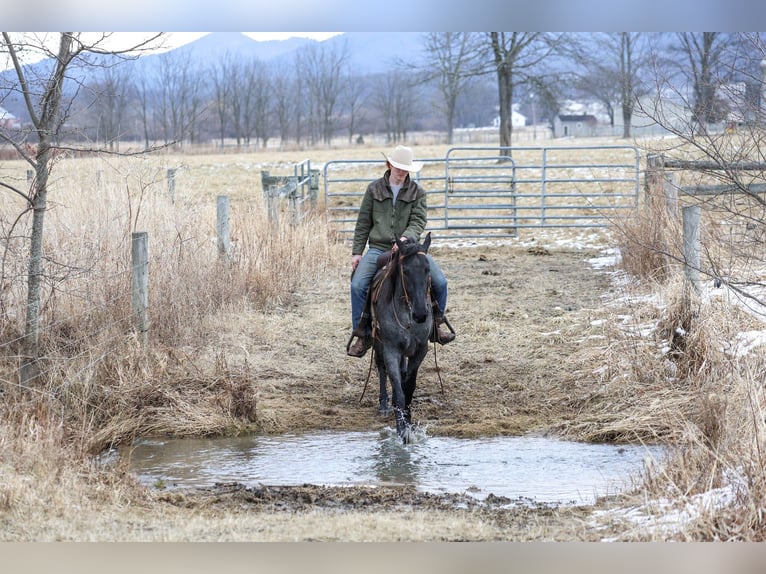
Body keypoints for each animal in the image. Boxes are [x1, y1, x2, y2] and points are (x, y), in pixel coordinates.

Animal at [370, 233, 433, 444]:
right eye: (405, 271)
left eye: (427, 269)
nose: (421, 314)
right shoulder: (391, 350)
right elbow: (398, 392)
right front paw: (402, 432)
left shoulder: (420, 350)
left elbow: (409, 388)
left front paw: (410, 424)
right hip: (378, 342)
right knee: (381, 367)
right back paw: (383, 404)